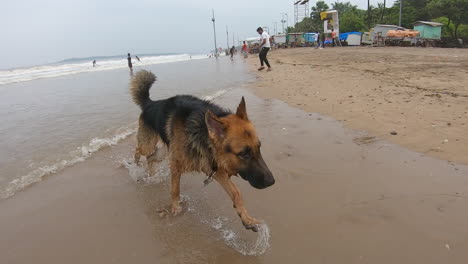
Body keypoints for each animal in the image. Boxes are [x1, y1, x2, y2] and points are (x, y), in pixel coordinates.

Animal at [129, 69, 274, 231]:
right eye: (243, 154)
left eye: (259, 147)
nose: (272, 182)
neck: (201, 132)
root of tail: (150, 103)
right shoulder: (177, 164)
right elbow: (175, 189)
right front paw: (175, 208)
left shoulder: (216, 170)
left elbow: (236, 193)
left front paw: (247, 219)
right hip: (148, 145)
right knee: (138, 151)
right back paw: (135, 167)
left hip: (164, 153)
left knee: (151, 158)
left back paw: (151, 174)